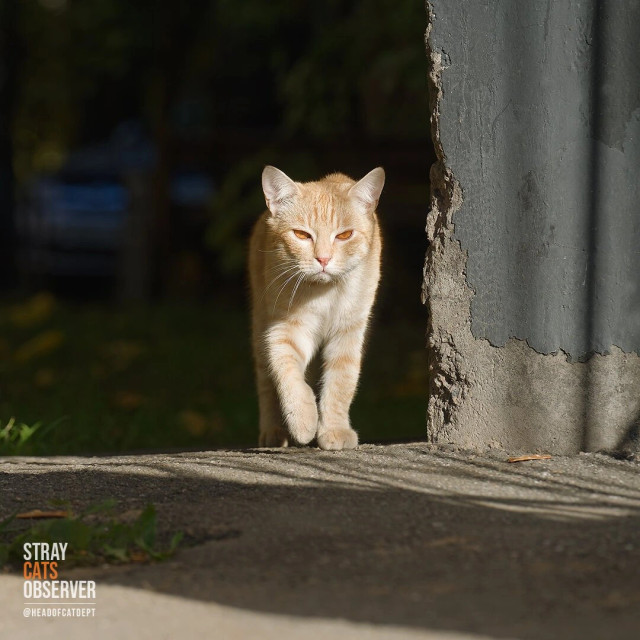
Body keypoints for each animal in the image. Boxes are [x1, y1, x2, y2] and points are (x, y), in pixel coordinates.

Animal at [248, 165, 382, 450]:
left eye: (344, 235)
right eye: (301, 235)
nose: (323, 259)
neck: (325, 294)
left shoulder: (348, 333)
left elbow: (341, 383)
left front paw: (334, 430)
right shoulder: (285, 330)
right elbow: (289, 375)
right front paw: (302, 420)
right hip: (259, 325)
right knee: (266, 382)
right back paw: (274, 431)